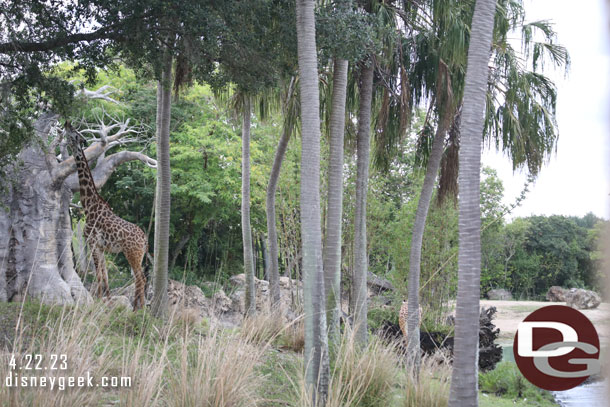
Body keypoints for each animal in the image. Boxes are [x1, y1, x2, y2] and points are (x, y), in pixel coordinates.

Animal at [65, 122, 148, 310]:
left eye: (74, 133)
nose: (66, 123)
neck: (89, 205)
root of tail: (145, 240)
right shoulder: (101, 247)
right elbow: (105, 274)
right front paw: (107, 300)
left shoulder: (92, 242)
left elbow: (99, 274)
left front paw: (99, 301)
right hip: (138, 256)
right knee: (141, 278)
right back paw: (139, 307)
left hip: (132, 254)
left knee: (140, 278)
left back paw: (138, 309)